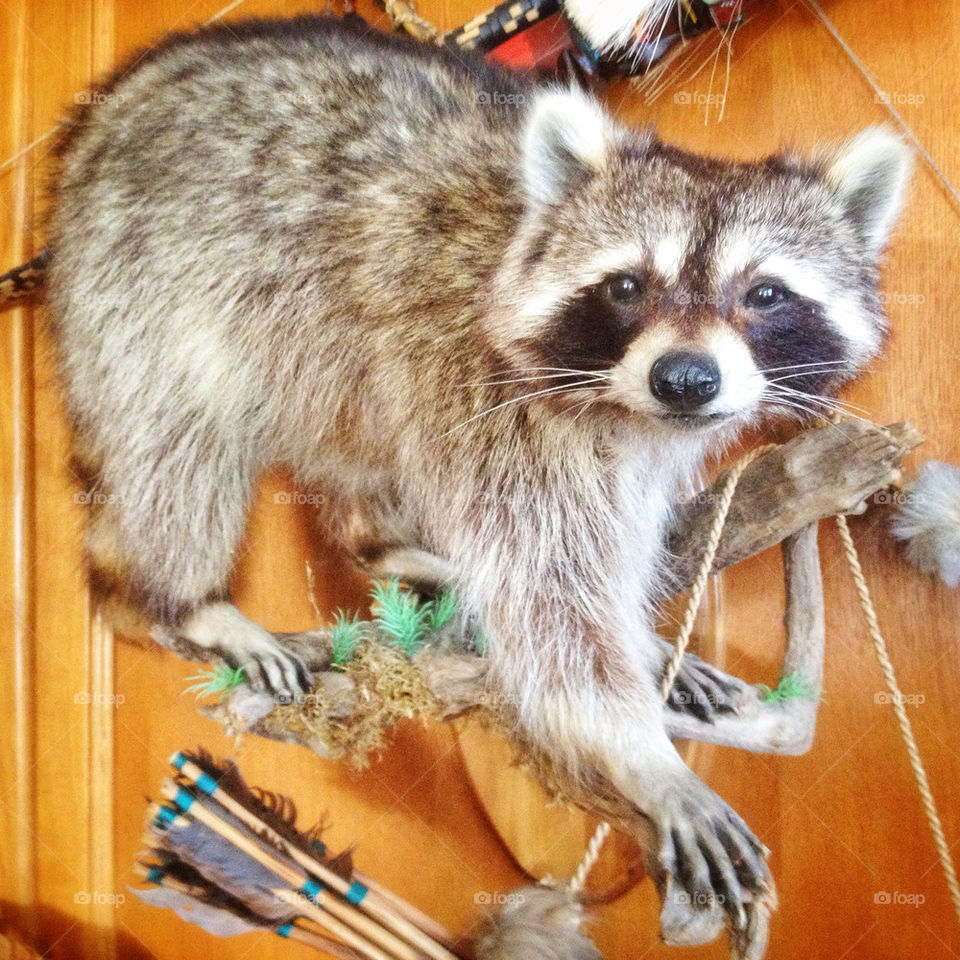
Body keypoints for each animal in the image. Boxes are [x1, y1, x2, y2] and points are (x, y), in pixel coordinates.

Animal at [44, 13, 910, 940]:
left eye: (766, 294)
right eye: (627, 286)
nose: (685, 379)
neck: (622, 405)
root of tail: (115, 104)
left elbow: (600, 556)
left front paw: (641, 639)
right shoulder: (494, 399)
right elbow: (551, 600)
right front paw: (643, 754)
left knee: (364, 444)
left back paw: (385, 545)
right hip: (144, 289)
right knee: (179, 448)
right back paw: (180, 599)